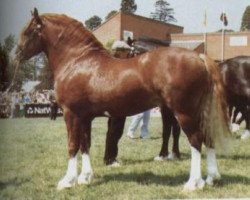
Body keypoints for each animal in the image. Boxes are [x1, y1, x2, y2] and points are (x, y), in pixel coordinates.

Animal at [16, 8, 230, 191]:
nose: (17, 54)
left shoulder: (71, 114)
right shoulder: (84, 117)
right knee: (208, 138)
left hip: (184, 112)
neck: (78, 61)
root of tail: (199, 57)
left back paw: (193, 183)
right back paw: (212, 178)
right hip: (200, 112)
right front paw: (85, 177)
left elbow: (72, 145)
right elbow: (85, 145)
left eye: (29, 31)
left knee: (196, 141)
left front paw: (67, 181)